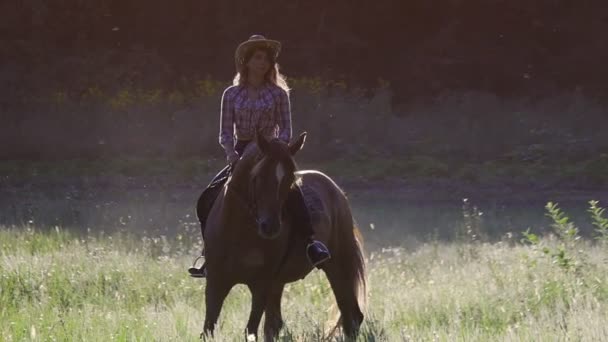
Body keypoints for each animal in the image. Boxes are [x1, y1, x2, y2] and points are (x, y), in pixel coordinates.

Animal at [200, 132, 366, 340]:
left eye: (289, 180)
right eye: (258, 177)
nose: (270, 227)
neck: (239, 232)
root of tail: (336, 190)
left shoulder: (261, 285)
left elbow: (251, 329)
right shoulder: (216, 282)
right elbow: (208, 328)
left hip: (337, 265)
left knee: (351, 314)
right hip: (280, 282)